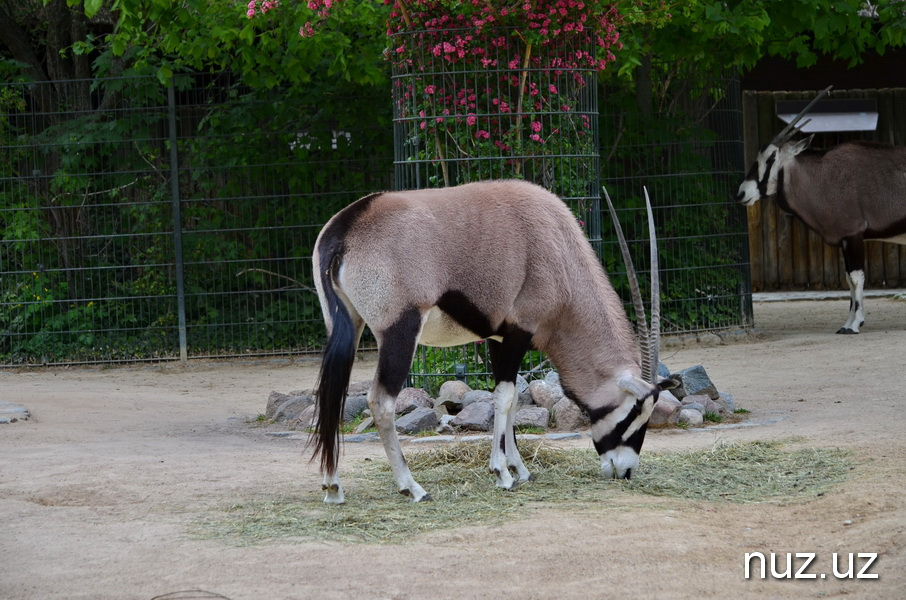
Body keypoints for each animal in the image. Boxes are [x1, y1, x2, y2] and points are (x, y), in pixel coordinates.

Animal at [310, 178, 672, 502]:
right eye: (635, 411)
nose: (625, 470)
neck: (559, 250)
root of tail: (347, 225)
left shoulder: (501, 337)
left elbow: (512, 401)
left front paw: (519, 470)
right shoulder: (518, 331)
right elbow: (505, 398)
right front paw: (502, 473)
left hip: (347, 325)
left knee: (333, 395)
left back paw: (333, 487)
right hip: (399, 330)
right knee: (381, 402)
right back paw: (411, 488)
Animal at [736, 85, 904, 336]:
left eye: (772, 158)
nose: (741, 193)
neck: (823, 175)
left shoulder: (853, 236)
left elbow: (856, 278)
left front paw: (853, 325)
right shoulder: (845, 240)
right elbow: (848, 280)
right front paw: (850, 322)